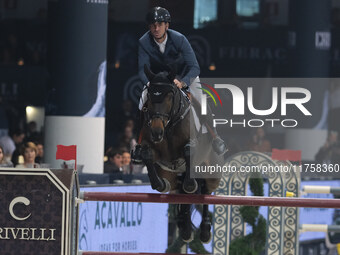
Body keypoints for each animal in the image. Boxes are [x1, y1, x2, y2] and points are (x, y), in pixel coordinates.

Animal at [139, 65, 223, 243]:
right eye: (150, 97)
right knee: (181, 193)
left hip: (212, 174)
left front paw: (190, 184)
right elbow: (147, 155)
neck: (169, 125)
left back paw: (205, 231)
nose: (157, 132)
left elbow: (188, 150)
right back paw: (185, 229)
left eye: (170, 96)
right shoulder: (157, 153)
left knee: (205, 192)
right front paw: (159, 184)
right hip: (172, 177)